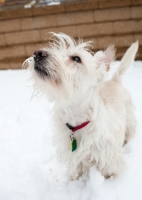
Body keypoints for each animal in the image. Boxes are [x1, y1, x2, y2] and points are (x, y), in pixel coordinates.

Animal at [23, 32, 139, 180]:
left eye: (76, 58)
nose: (38, 53)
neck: (76, 120)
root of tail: (114, 80)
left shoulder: (109, 162)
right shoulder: (75, 160)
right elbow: (76, 174)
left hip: (129, 120)